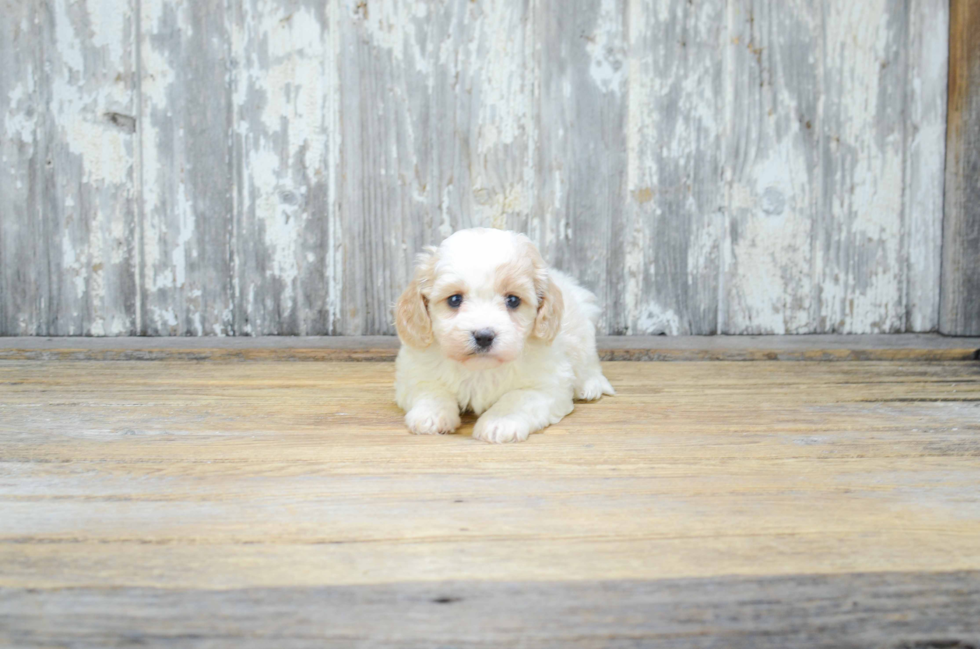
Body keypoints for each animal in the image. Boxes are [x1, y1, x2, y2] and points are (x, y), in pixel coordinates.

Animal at [392, 225, 612, 442]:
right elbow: (431, 390)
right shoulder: (415, 373)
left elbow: (518, 397)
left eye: (513, 300)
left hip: (582, 335)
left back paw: (590, 386)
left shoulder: (547, 385)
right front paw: (430, 416)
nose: (483, 336)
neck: (481, 369)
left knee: (589, 363)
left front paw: (499, 422)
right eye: (454, 299)